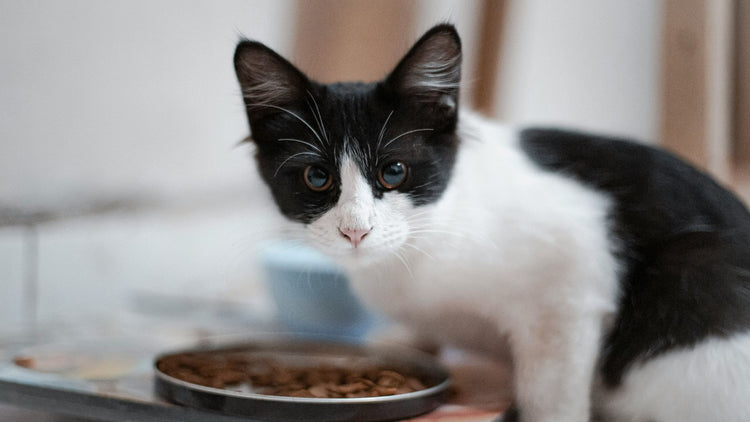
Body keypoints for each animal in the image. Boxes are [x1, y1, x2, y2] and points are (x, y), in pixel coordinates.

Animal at [234, 23, 750, 422]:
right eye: (317, 177)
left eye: (394, 172)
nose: (355, 230)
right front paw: (407, 338)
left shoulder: (571, 288)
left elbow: (552, 390)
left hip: (696, 273)